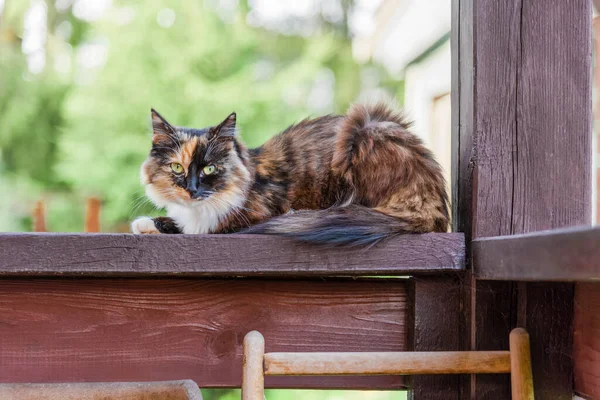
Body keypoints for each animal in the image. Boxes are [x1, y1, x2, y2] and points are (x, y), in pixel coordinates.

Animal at [132, 102, 450, 247]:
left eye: (209, 168)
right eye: (177, 167)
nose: (192, 189)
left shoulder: (244, 218)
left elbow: (201, 229)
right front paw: (147, 224)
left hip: (358, 132)